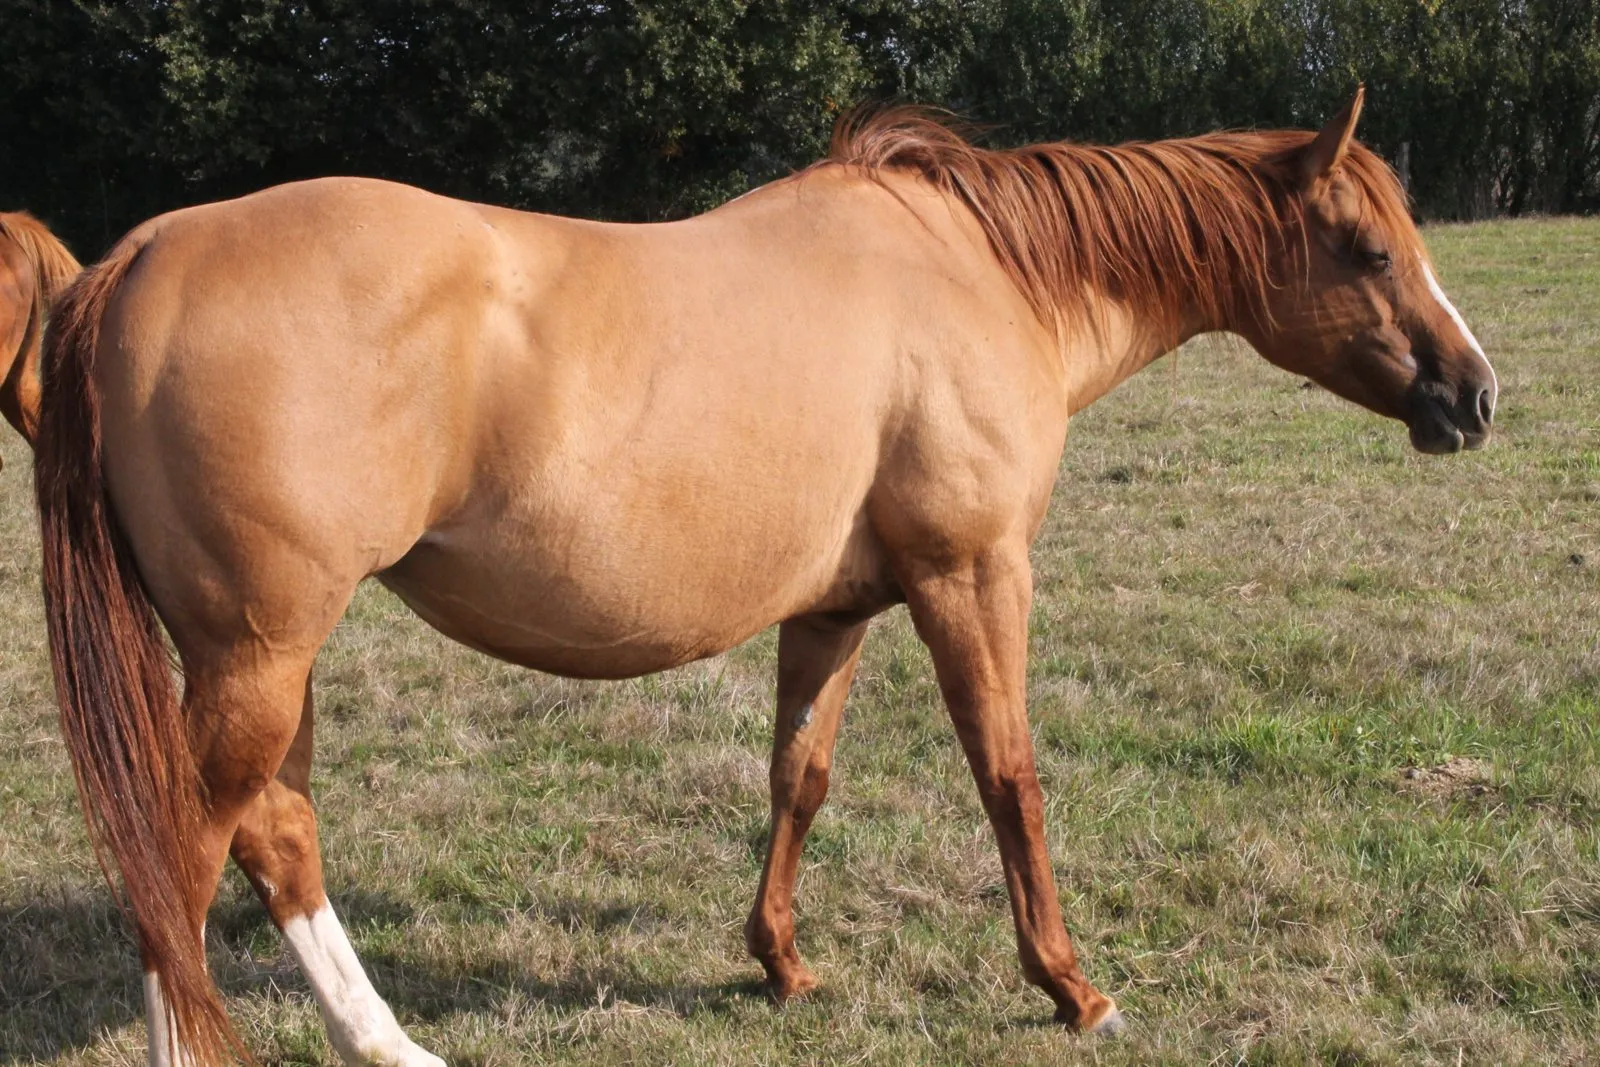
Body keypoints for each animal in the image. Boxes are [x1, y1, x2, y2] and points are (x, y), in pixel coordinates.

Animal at [34, 87, 1496, 1065]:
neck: (982, 275)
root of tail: (143, 251)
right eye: (1371, 248)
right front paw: (1072, 985)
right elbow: (1008, 774)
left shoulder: (835, 606)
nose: (1475, 395)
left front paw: (782, 962)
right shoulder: (973, 574)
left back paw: (388, 1040)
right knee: (183, 854)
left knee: (276, 835)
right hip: (258, 655)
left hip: (267, 659)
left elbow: (800, 774)